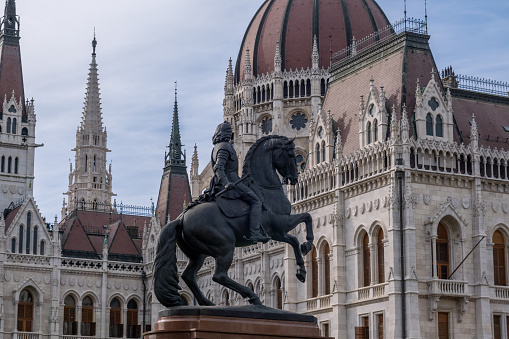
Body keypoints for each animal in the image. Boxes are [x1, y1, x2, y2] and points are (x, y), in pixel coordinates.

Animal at [154, 135, 314, 308]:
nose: (294, 178)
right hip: (225, 246)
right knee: (219, 276)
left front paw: (301, 269)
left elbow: (294, 240)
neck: (264, 189)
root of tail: (181, 218)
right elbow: (306, 218)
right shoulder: (281, 224)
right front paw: (307, 245)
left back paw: (207, 302)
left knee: (189, 276)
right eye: (291, 155)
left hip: (199, 253)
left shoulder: (276, 232)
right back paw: (251, 297)